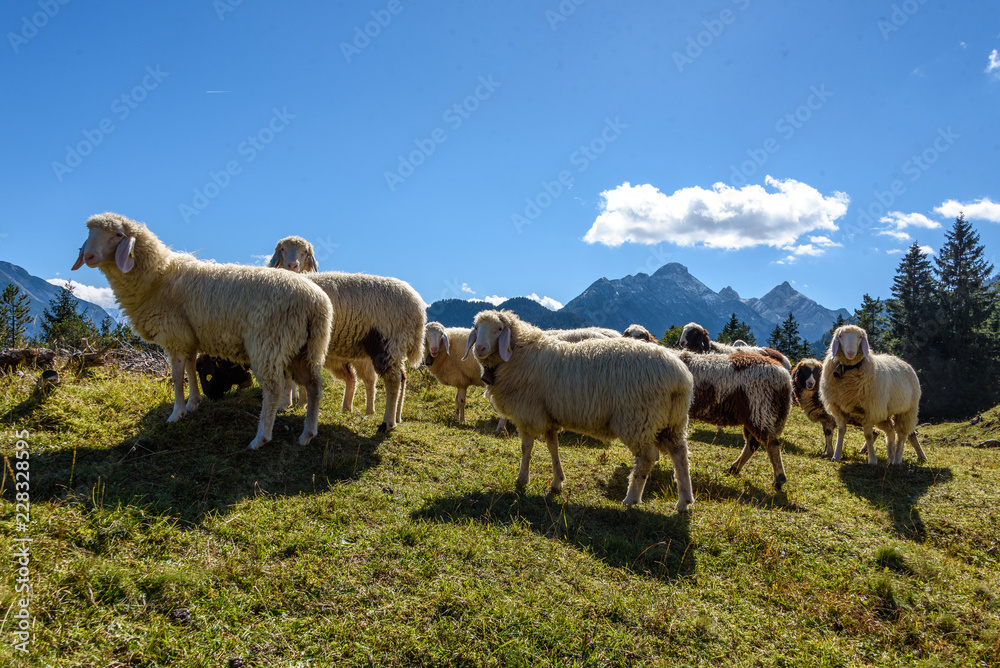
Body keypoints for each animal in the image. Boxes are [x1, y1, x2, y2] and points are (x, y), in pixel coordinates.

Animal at [72, 213, 332, 450]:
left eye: (118, 235)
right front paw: (193, 403)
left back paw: (261, 437)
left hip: (269, 341)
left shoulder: (175, 335)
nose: (89, 256)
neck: (157, 277)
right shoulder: (188, 337)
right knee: (314, 386)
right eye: (89, 232)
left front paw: (176, 413)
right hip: (306, 347)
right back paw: (308, 433)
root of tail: (316, 301)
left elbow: (177, 376)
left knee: (274, 387)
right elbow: (189, 369)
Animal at [269, 236, 425, 432]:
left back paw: (387, 422)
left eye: (305, 252)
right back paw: (396, 417)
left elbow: (286, 378)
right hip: (397, 346)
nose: (292, 265)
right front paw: (299, 403)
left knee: (393, 380)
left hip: (387, 342)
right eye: (282, 249)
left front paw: (284, 405)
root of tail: (418, 308)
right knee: (402, 377)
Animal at [463, 310, 695, 511]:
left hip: (639, 419)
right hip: (671, 422)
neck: (520, 354)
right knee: (680, 455)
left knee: (647, 458)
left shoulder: (529, 414)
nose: (479, 349)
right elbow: (553, 447)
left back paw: (631, 498)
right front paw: (557, 481)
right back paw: (684, 501)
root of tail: (680, 376)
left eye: (499, 329)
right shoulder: (549, 416)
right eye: (476, 327)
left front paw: (522, 479)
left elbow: (526, 448)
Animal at [819, 324, 927, 465]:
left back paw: (897, 459)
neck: (848, 370)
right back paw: (890, 458)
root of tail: (902, 361)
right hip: (884, 413)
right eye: (840, 336)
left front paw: (872, 460)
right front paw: (836, 456)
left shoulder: (870, 410)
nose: (850, 353)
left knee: (902, 434)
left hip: (907, 411)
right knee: (890, 431)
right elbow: (841, 431)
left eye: (860, 337)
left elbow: (868, 435)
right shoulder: (838, 407)